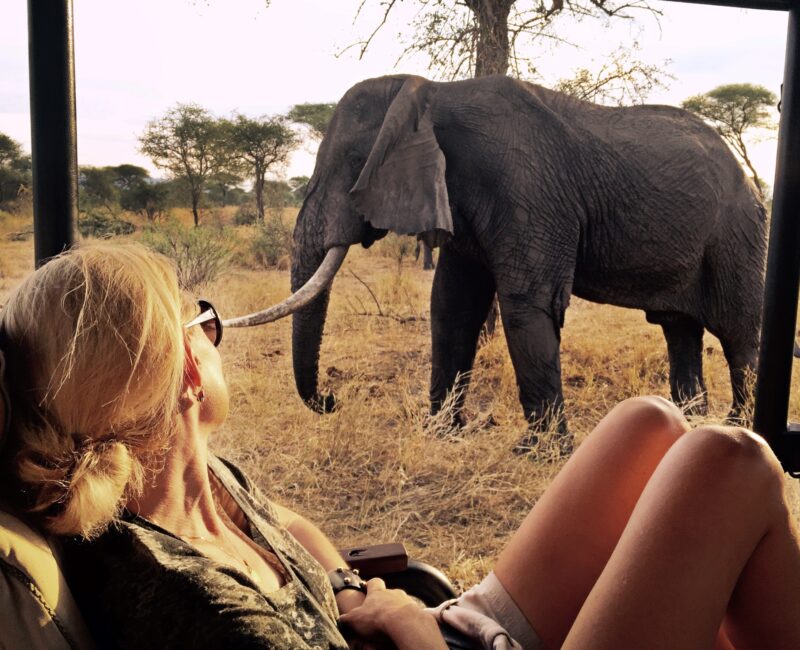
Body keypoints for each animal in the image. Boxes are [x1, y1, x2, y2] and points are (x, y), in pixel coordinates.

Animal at [224, 74, 767, 448]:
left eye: (355, 164)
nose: (333, 400)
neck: (432, 94)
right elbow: (452, 306)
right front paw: (442, 436)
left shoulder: (524, 186)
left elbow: (527, 303)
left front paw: (540, 453)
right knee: (679, 328)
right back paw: (690, 424)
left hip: (737, 232)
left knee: (739, 333)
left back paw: (735, 429)